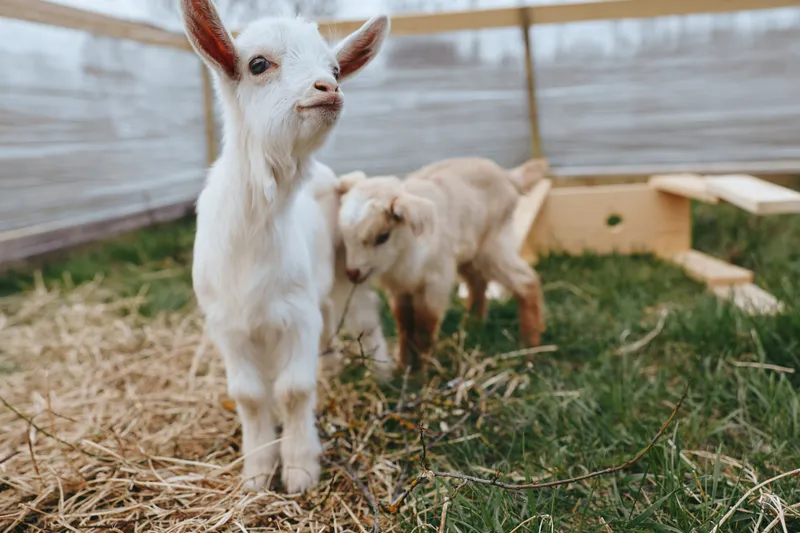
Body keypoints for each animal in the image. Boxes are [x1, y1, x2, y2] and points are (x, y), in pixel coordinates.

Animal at [181, 0, 389, 493]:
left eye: (335, 68)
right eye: (258, 64)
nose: (328, 88)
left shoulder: (296, 314)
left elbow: (293, 391)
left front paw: (298, 469)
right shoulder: (227, 325)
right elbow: (250, 396)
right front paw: (257, 471)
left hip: (346, 273)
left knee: (363, 317)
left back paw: (383, 372)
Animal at [336, 157, 548, 372]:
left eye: (383, 236)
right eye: (344, 235)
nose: (353, 272)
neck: (404, 254)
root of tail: (509, 177)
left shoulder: (436, 282)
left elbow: (424, 328)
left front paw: (420, 373)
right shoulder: (400, 290)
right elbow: (404, 325)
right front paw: (403, 366)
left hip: (492, 246)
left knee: (526, 281)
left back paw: (531, 345)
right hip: (468, 256)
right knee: (478, 284)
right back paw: (472, 325)